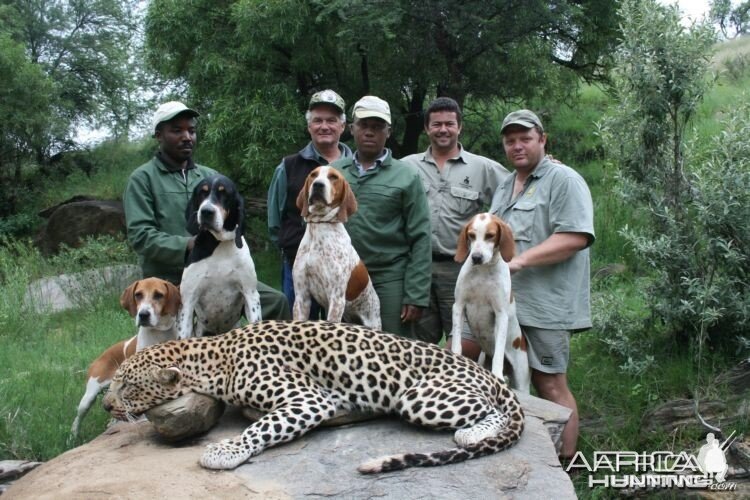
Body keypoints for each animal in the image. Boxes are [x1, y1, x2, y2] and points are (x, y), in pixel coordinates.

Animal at [103, 320, 524, 472]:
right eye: (114, 382)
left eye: (127, 385)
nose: (106, 404)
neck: (213, 357)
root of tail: (487, 372)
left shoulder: (308, 398)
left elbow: (260, 428)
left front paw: (224, 450)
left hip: (420, 398)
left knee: (494, 412)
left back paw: (471, 433)